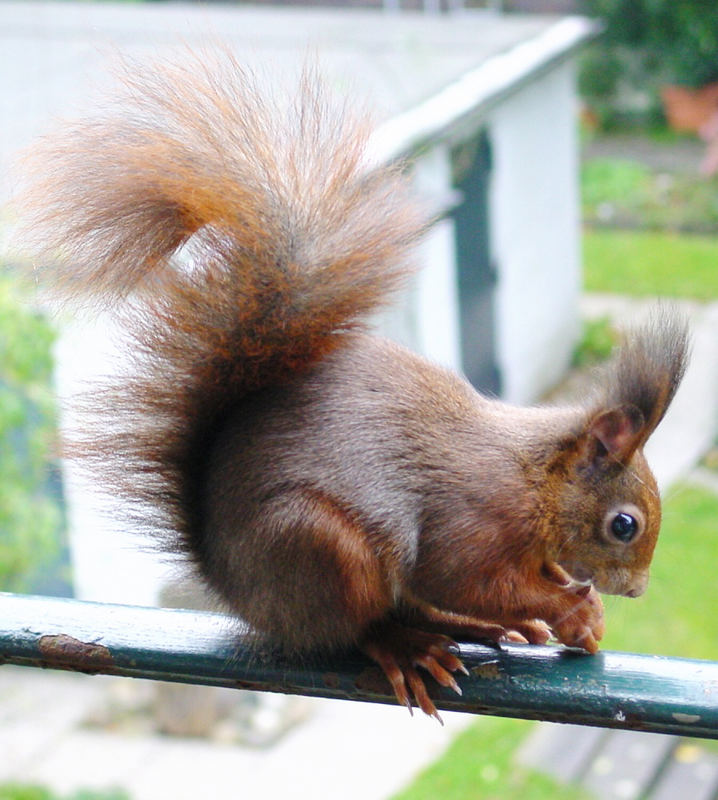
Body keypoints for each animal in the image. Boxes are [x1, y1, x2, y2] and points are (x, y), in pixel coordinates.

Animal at [15, 54, 692, 720]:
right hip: (324, 549)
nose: (637, 591)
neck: (536, 481)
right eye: (624, 525)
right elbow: (469, 580)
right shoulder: (472, 518)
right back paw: (407, 645)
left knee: (411, 607)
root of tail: (233, 585)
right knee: (357, 626)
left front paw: (576, 606)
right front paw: (571, 608)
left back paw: (470, 630)